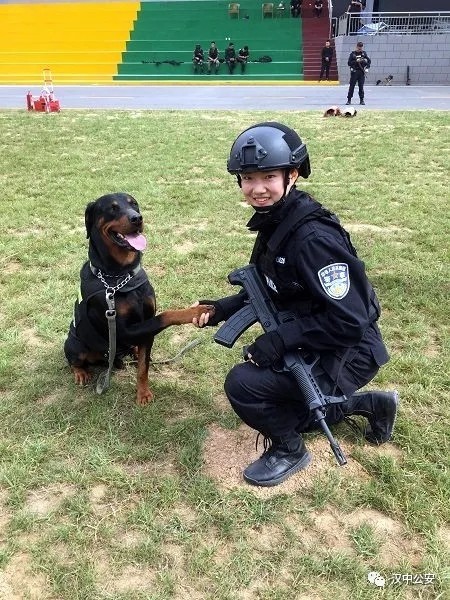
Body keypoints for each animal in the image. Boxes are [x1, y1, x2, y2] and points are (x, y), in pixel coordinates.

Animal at [62, 193, 214, 408]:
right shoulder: (123, 329)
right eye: (112, 208)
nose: (137, 218)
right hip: (74, 344)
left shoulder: (145, 325)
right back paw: (81, 373)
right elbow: (166, 315)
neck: (120, 275)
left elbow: (143, 366)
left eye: (134, 204)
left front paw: (143, 393)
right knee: (74, 361)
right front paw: (198, 311)